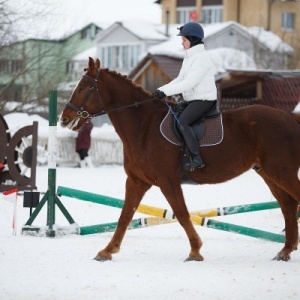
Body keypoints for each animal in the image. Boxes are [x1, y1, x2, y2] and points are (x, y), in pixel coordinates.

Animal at [59, 57, 300, 262]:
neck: (143, 126)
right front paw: (107, 251)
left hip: (281, 172)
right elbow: (125, 216)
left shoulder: (168, 181)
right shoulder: (137, 181)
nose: (64, 119)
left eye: (83, 88)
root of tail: (290, 118)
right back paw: (285, 251)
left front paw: (195, 251)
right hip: (269, 174)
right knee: (288, 206)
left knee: (291, 202)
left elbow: (182, 214)